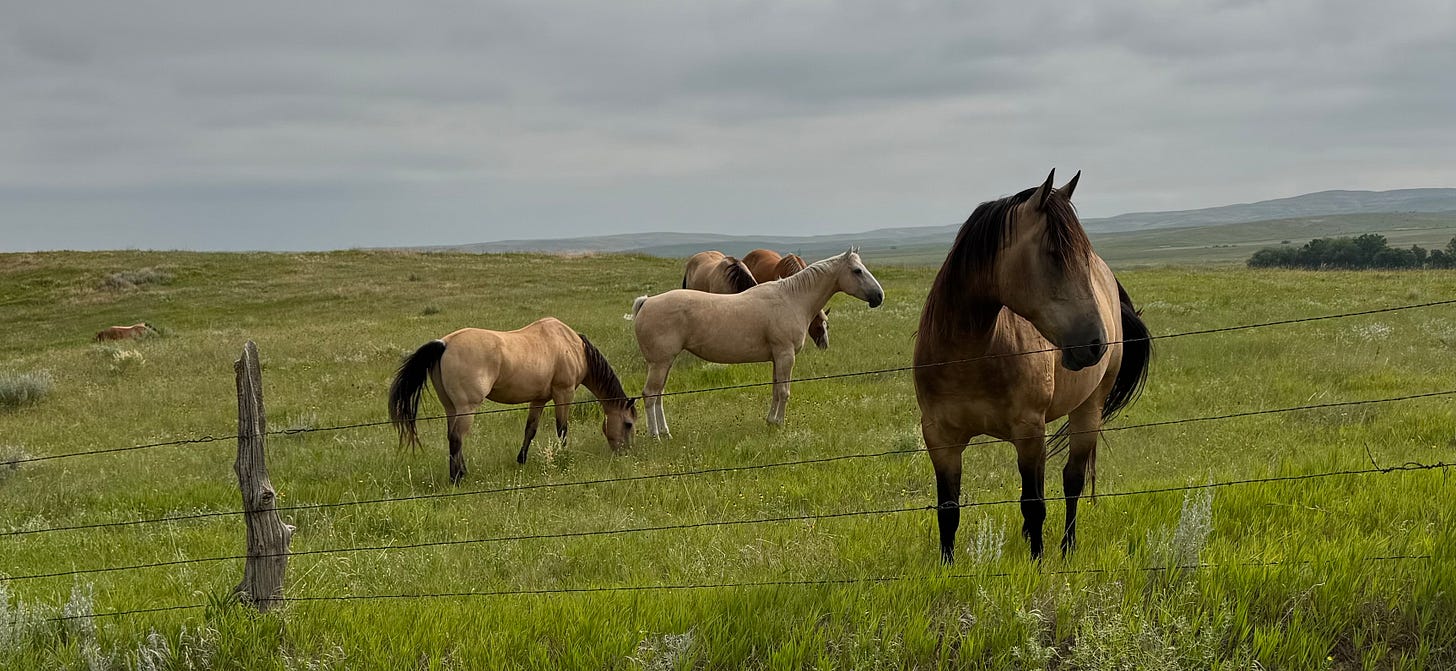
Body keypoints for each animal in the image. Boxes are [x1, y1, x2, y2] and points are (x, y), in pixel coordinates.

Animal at [388, 318, 637, 485]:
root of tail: (444, 344)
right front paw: (564, 457)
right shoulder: (563, 394)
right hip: (466, 408)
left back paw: (458, 473)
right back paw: (458, 478)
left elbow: (531, 429)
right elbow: (562, 429)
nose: (625, 453)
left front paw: (522, 459)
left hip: (451, 407)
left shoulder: (539, 399)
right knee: (457, 438)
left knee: (452, 437)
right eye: (628, 424)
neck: (573, 346)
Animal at [632, 249, 883, 436]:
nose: (879, 297)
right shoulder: (785, 355)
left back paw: (665, 432)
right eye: (857, 270)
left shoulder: (777, 358)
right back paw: (656, 435)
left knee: (659, 395)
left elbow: (775, 389)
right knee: (650, 394)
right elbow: (784, 391)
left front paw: (771, 421)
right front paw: (779, 423)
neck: (792, 299)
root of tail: (646, 302)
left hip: (665, 363)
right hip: (659, 363)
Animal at [913, 170, 1151, 562]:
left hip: (1087, 409)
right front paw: (947, 567)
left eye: (1081, 256)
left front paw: (1037, 565)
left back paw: (1067, 548)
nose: (1095, 343)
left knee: (1072, 480)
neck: (972, 356)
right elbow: (948, 510)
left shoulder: (1027, 431)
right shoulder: (940, 438)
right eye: (1054, 254)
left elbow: (1034, 503)